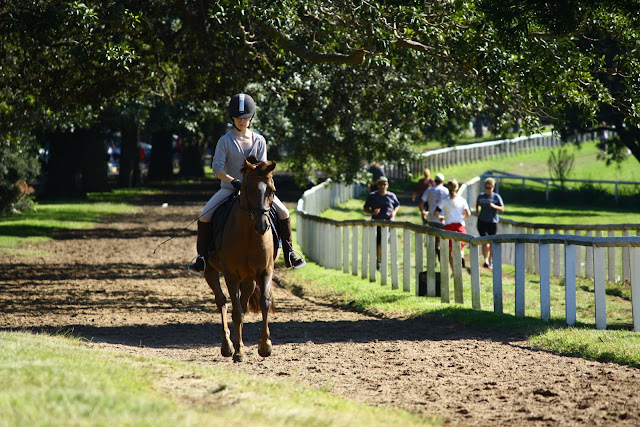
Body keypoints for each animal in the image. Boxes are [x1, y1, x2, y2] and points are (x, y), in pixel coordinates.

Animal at [204, 155, 276, 362]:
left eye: (272, 190)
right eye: (247, 189)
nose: (262, 226)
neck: (249, 234)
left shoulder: (265, 271)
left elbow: (264, 303)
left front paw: (265, 346)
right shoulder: (231, 276)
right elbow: (235, 312)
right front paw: (239, 352)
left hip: (250, 279)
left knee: (242, 304)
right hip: (210, 271)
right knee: (221, 301)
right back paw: (228, 346)